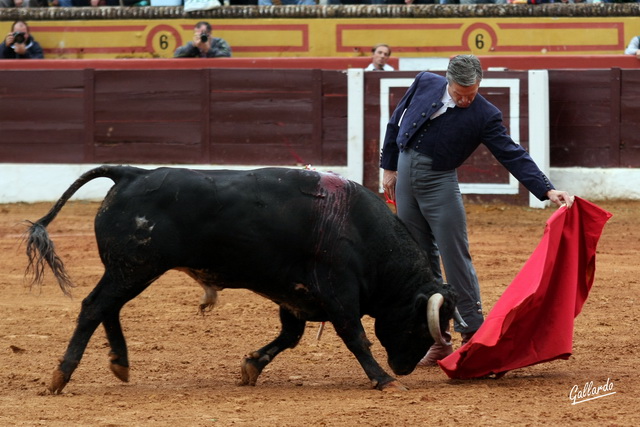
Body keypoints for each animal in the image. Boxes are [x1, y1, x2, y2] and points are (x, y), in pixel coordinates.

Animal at [23, 166, 456, 392]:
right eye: (422, 327)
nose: (405, 368)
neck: (361, 231)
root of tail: (131, 173)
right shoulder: (339, 294)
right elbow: (356, 337)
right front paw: (384, 380)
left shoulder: (295, 296)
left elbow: (289, 337)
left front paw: (251, 366)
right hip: (134, 268)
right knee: (94, 307)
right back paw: (61, 376)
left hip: (128, 271)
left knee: (107, 309)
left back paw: (120, 363)